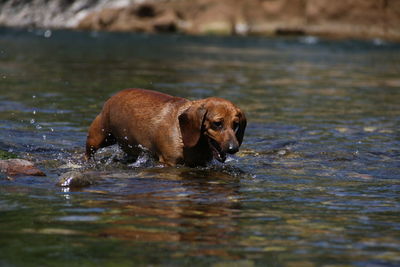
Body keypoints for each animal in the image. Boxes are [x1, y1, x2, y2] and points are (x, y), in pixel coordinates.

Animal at [86, 89, 245, 166]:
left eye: (236, 124)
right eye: (217, 123)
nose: (233, 148)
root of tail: (112, 97)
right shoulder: (169, 162)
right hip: (98, 137)